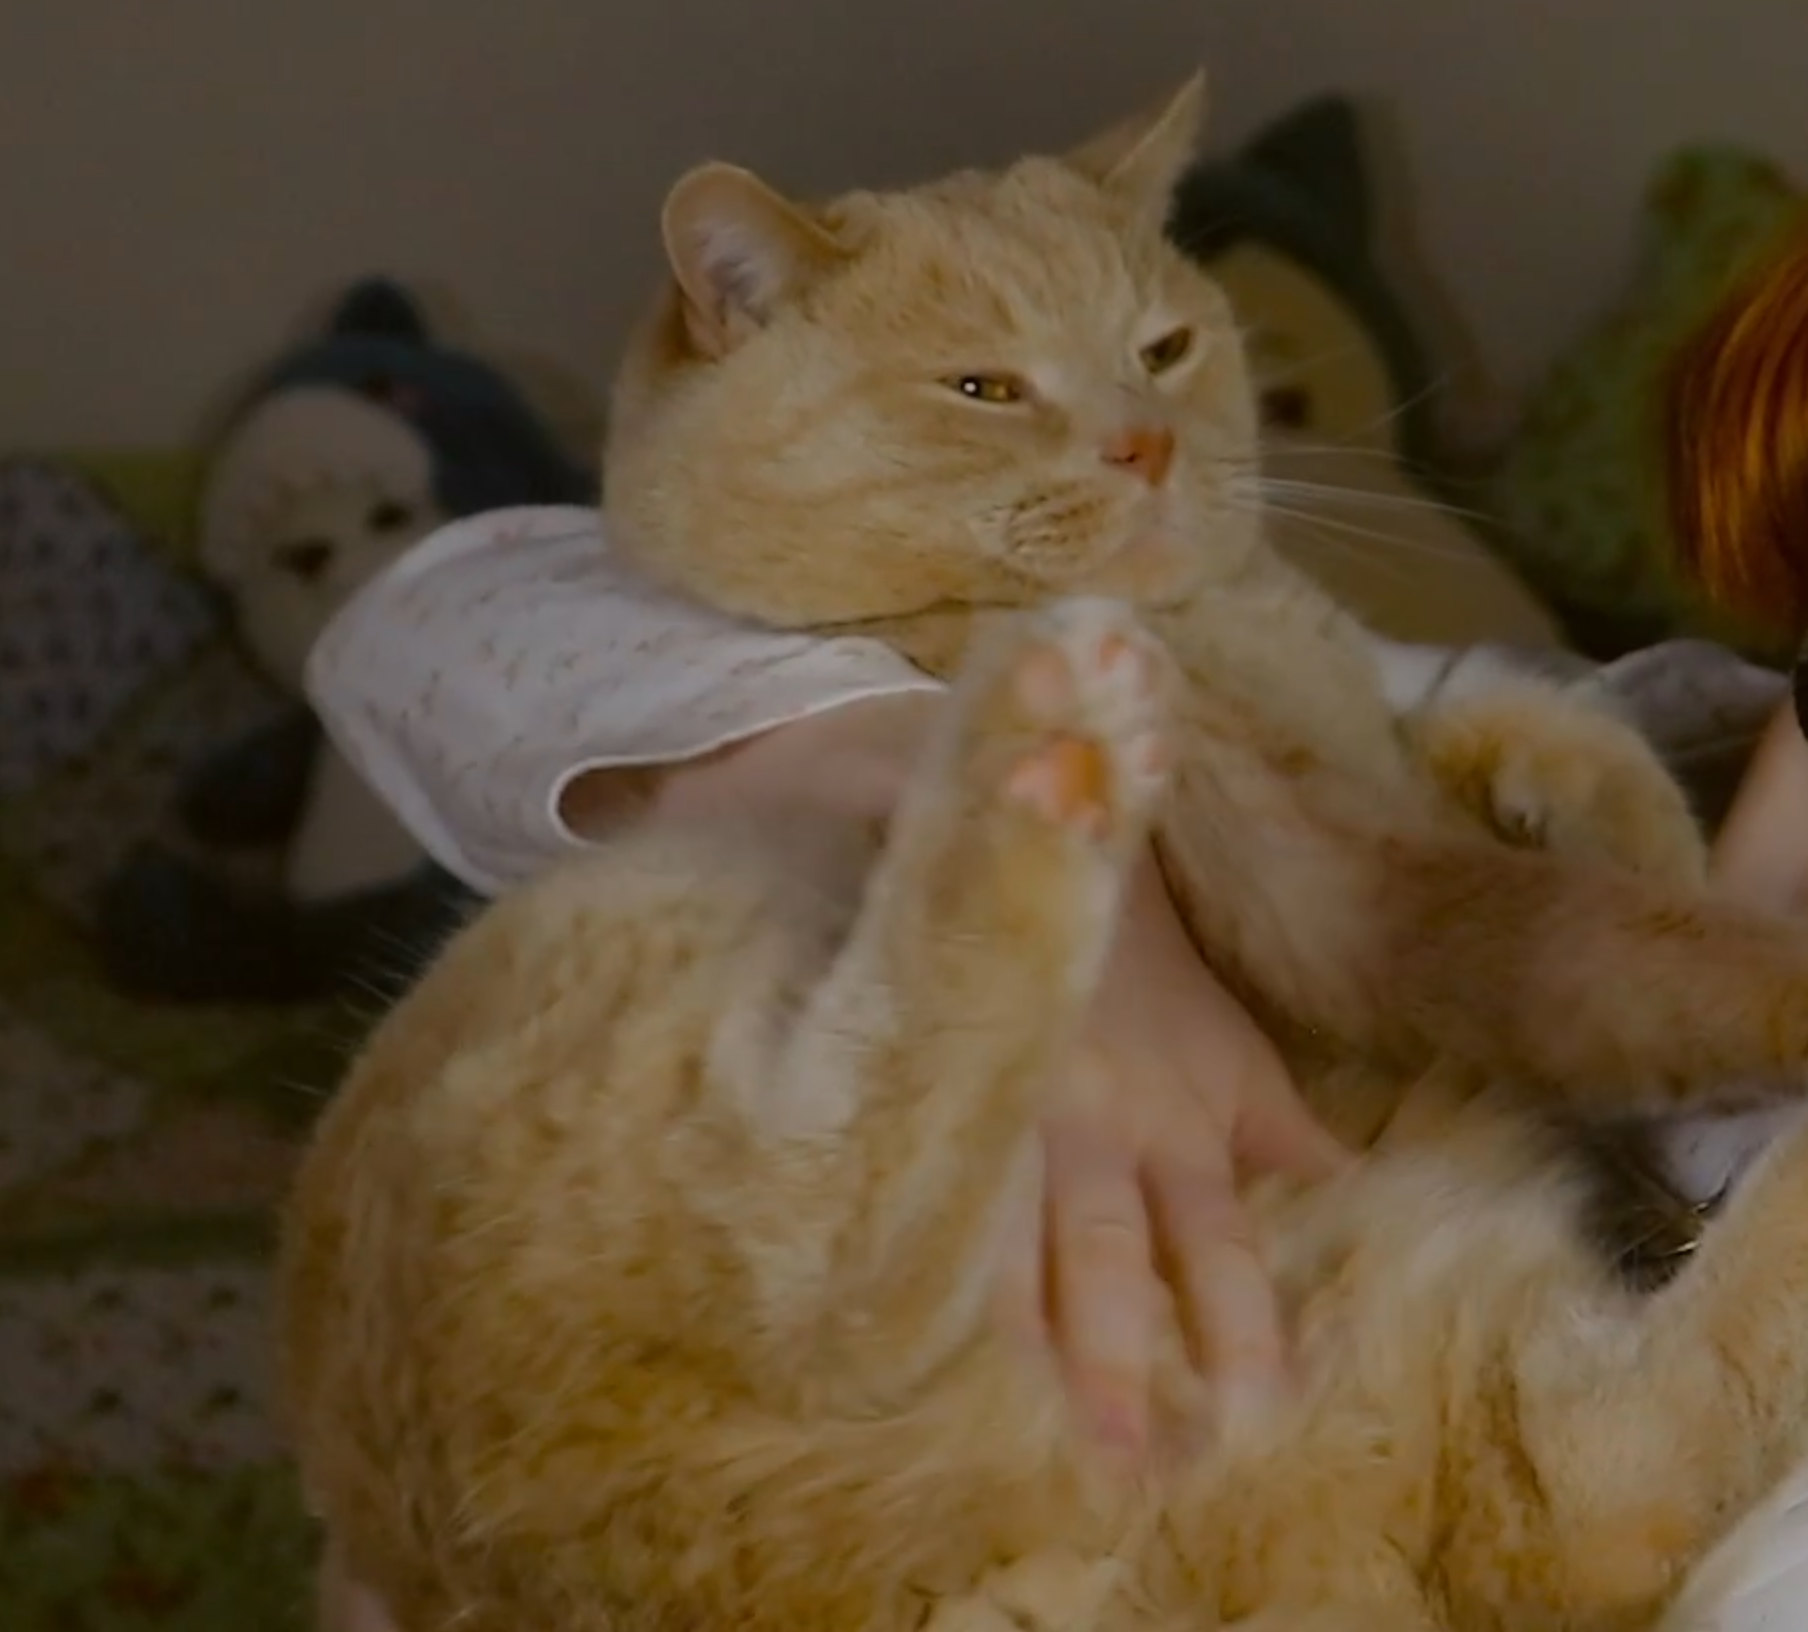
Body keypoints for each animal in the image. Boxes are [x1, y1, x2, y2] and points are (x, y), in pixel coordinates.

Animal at [282, 76, 1808, 1631]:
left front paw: (1629, 806)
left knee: (1616, 1485)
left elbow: (1520, 724)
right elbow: (1625, 934)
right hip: (628, 937)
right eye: (984, 391)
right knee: (830, 1248)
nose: (1146, 444)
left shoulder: (1379, 778)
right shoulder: (1331, 890)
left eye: (1162, 349)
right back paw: (1042, 740)